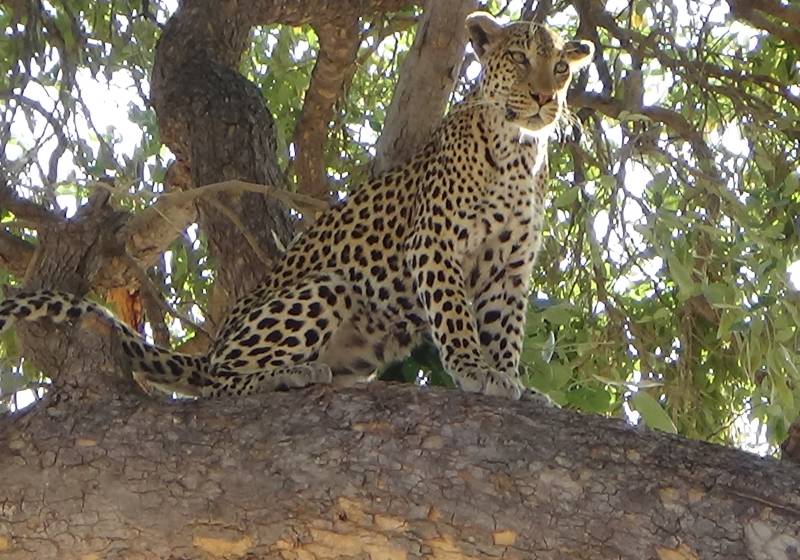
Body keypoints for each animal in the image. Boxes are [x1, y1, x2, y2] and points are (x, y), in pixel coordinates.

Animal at [0, 12, 594, 401]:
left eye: (561, 69)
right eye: (519, 58)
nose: (545, 98)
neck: (519, 152)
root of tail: (214, 345)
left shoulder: (510, 265)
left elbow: (506, 326)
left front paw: (512, 379)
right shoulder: (436, 244)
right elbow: (455, 316)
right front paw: (475, 368)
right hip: (323, 288)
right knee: (216, 384)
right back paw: (285, 375)